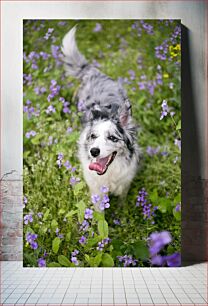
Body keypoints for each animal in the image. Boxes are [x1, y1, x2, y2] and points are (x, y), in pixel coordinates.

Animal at [61, 26, 140, 210]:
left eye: (112, 138)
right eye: (93, 136)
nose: (94, 151)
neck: (109, 173)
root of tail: (93, 72)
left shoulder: (124, 184)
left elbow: (122, 202)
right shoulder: (97, 191)